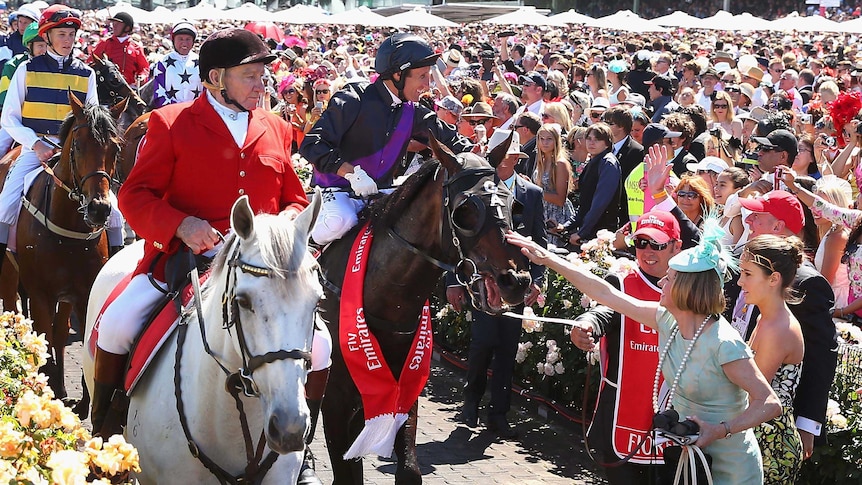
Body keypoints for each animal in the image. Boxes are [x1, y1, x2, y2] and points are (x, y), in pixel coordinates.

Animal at [11, 91, 125, 400]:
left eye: (115, 149)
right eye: (77, 145)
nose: (99, 209)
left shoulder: (83, 295)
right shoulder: (40, 294)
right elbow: (43, 339)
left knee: (60, 332)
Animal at [318, 133, 532, 484]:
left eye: (514, 204)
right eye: (466, 209)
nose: (515, 280)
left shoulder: (403, 391)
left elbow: (408, 471)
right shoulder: (333, 401)